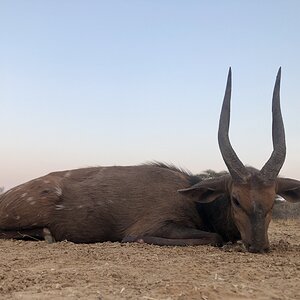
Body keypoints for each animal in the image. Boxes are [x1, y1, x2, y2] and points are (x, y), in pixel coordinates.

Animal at [0, 68, 300, 253]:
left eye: (273, 200)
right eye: (236, 199)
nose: (258, 245)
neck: (195, 203)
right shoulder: (151, 226)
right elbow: (213, 238)